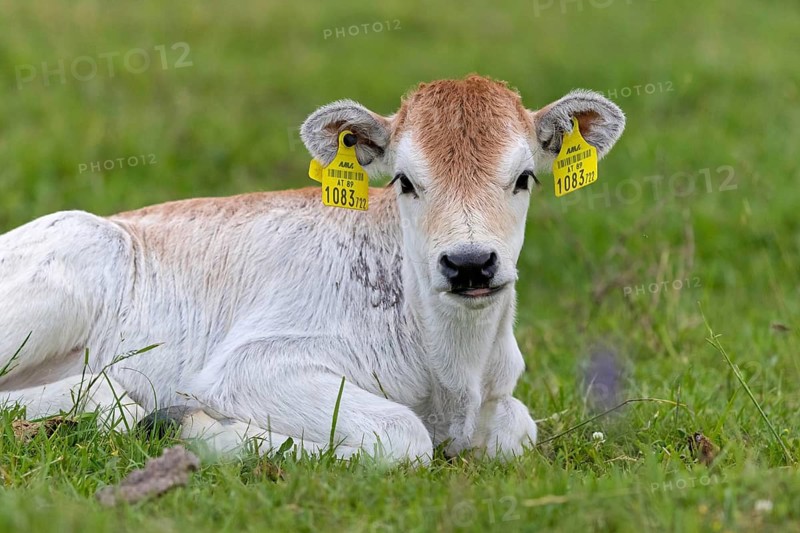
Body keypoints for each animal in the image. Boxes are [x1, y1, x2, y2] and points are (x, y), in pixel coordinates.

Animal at [0, 75, 624, 462]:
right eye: (405, 181)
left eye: (524, 177)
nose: (469, 264)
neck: (452, 377)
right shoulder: (249, 366)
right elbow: (402, 436)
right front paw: (207, 431)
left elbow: (519, 426)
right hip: (75, 262)